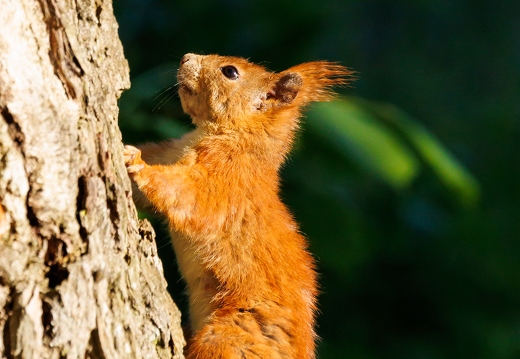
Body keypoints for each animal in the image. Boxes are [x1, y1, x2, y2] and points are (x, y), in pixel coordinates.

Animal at [123, 52, 352, 358]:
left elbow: (186, 195)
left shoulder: (225, 181)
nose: (186, 57)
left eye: (230, 72)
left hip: (228, 337)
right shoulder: (172, 151)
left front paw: (137, 163)